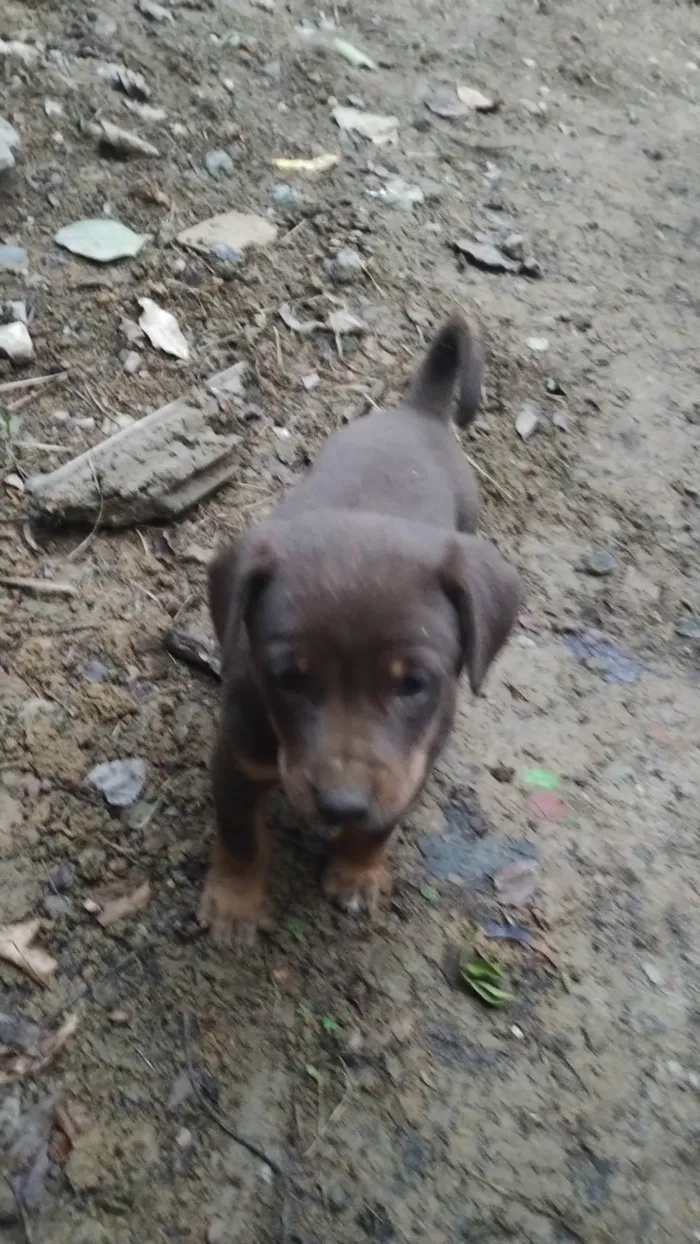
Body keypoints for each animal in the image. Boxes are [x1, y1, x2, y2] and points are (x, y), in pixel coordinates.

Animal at [201, 311, 519, 940]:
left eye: (413, 684)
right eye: (290, 679)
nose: (342, 805)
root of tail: (420, 412)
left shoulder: (413, 764)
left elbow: (379, 824)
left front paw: (355, 872)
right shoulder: (238, 756)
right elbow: (241, 837)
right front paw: (235, 903)